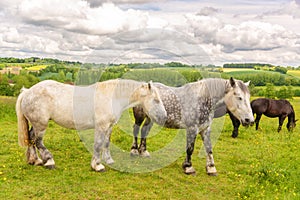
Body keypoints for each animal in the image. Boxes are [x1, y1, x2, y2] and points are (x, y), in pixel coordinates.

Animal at [16, 79, 168, 172]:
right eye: (156, 100)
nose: (164, 117)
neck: (112, 97)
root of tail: (27, 92)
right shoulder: (101, 126)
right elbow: (98, 144)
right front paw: (98, 166)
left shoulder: (109, 127)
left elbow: (106, 143)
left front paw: (108, 160)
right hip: (41, 125)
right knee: (38, 141)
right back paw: (49, 161)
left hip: (36, 124)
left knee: (31, 138)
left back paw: (34, 160)